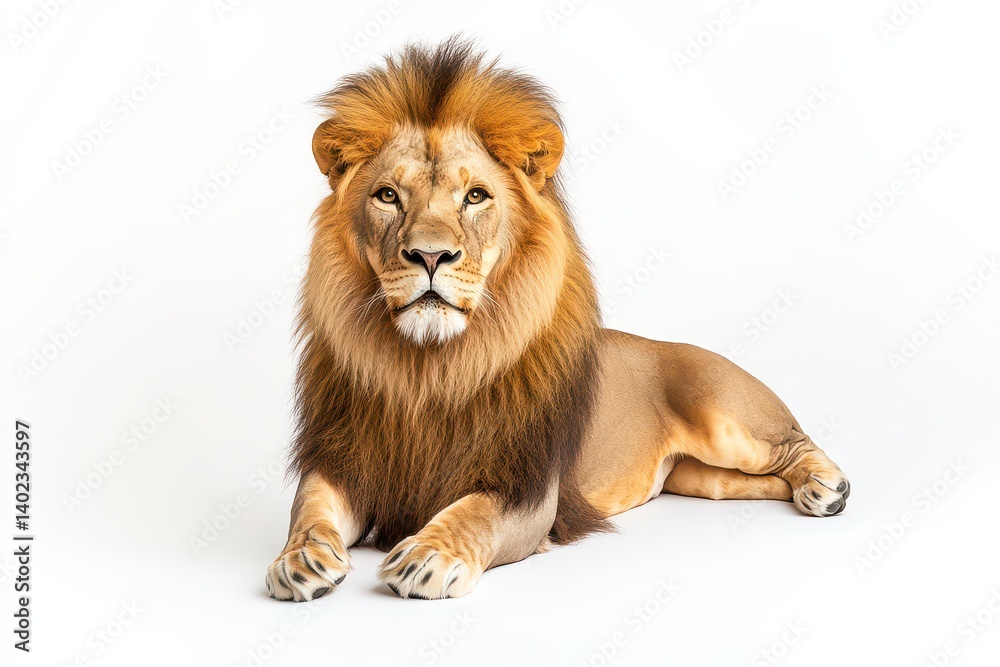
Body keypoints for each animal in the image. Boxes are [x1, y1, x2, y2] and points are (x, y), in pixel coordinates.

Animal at [265, 38, 850, 601]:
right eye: (388, 196)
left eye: (475, 196)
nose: (430, 256)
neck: (428, 370)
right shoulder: (343, 459)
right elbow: (308, 508)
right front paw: (298, 560)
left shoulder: (528, 489)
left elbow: (473, 513)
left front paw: (430, 555)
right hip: (703, 479)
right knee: (765, 477)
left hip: (724, 418)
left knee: (796, 442)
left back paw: (827, 488)